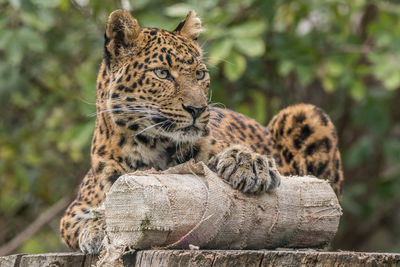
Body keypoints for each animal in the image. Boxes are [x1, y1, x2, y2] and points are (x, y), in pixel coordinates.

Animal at [59, 9, 344, 254]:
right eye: (162, 73)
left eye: (200, 74)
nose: (197, 109)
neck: (154, 148)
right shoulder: (75, 209)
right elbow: (85, 219)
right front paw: (97, 229)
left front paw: (250, 163)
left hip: (307, 113)